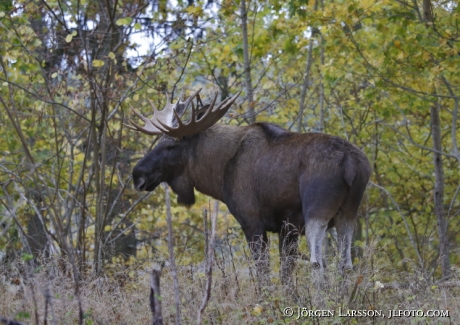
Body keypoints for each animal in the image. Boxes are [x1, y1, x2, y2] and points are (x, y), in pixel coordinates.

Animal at [127, 88, 372, 284]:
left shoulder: (252, 221)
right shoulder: (287, 228)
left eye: (170, 146)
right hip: (348, 212)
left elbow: (263, 272)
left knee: (317, 263)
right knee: (346, 264)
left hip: (317, 210)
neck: (218, 174)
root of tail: (351, 164)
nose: (137, 175)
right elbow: (285, 273)